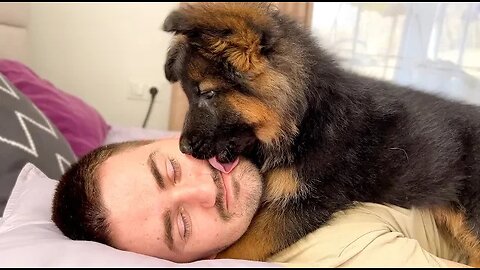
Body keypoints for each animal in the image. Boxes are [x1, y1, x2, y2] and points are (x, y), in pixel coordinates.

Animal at [163, 2, 480, 264]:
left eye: (208, 93)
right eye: (191, 95)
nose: (183, 148)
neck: (305, 120)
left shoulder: (304, 203)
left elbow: (238, 249)